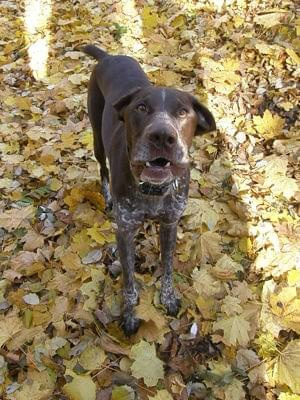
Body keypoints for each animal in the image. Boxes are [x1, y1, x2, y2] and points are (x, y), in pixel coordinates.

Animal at [82, 44, 216, 334]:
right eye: (141, 107)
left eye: (182, 112)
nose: (162, 136)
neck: (152, 191)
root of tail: (108, 57)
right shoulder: (124, 230)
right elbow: (129, 283)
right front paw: (130, 315)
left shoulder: (170, 223)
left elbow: (167, 266)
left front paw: (168, 297)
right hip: (97, 135)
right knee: (102, 168)